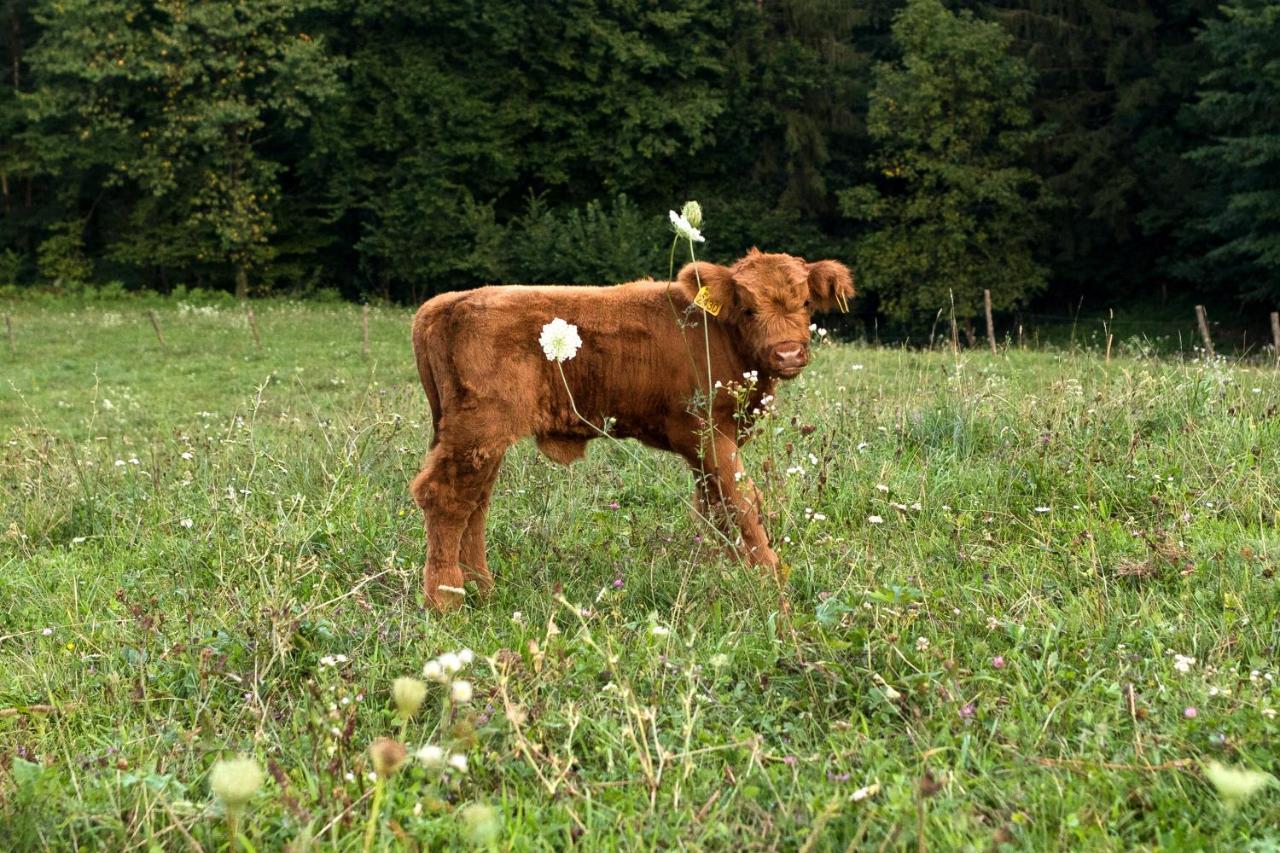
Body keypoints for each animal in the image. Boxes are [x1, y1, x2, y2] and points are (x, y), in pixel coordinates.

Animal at [409, 249, 849, 607]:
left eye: (806, 301)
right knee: (446, 499)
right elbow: (742, 501)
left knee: (475, 503)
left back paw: (482, 588)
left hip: (479, 440)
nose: (787, 353)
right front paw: (770, 576)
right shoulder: (710, 435)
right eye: (748, 309)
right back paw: (446, 599)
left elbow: (717, 507)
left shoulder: (705, 450)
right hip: (479, 432)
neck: (715, 332)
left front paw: (730, 569)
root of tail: (450, 301)